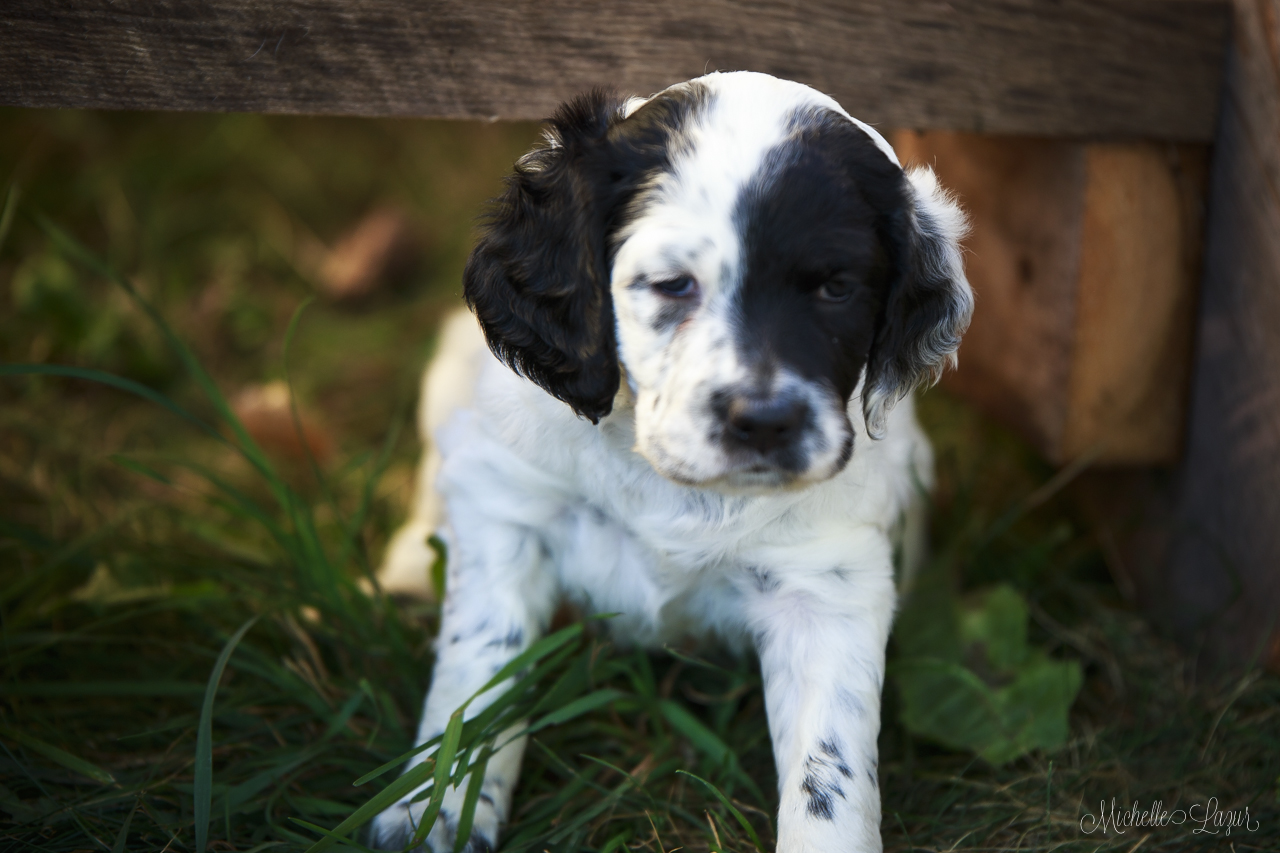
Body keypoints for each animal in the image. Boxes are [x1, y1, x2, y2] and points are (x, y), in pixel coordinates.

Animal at [373, 71, 972, 850]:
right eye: (671, 284)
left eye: (837, 288)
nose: (765, 421)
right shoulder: (511, 507)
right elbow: (479, 666)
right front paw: (434, 808)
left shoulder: (827, 582)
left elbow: (830, 767)